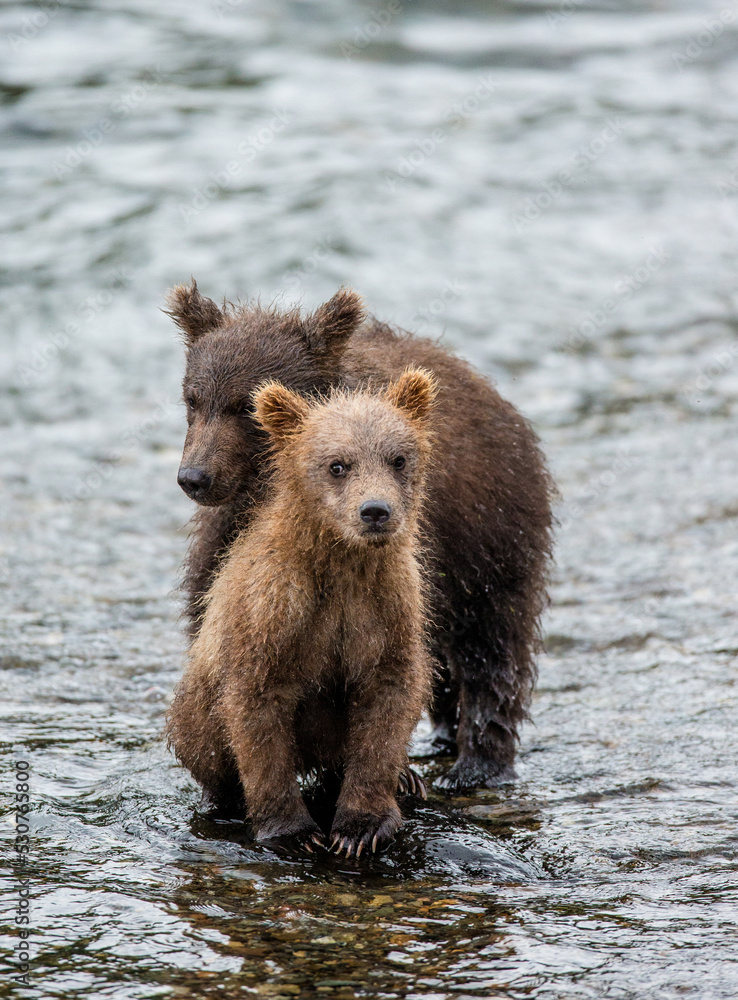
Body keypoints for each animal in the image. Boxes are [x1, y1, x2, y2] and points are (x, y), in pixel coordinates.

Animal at [165, 282, 555, 793]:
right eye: (193, 399)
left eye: (243, 406)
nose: (195, 477)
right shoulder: (231, 533)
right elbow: (216, 613)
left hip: (491, 533)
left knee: (493, 641)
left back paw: (477, 764)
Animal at [165, 370, 438, 855]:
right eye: (338, 465)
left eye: (398, 459)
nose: (375, 511)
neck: (342, 563)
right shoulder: (275, 610)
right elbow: (257, 710)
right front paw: (293, 832)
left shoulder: (388, 607)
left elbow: (388, 700)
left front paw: (361, 826)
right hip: (196, 701)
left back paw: (407, 776)